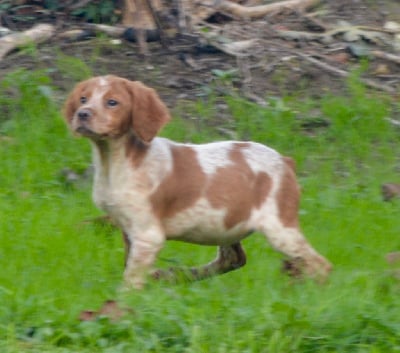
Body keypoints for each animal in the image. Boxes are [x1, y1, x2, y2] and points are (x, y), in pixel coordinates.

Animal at [63, 75, 332, 288]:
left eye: (112, 102)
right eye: (83, 99)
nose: (82, 114)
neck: (114, 161)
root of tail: (285, 160)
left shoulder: (148, 234)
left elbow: (131, 279)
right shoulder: (128, 230)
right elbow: (130, 265)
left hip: (279, 227)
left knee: (320, 265)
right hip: (227, 226)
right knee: (233, 259)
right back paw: (175, 275)